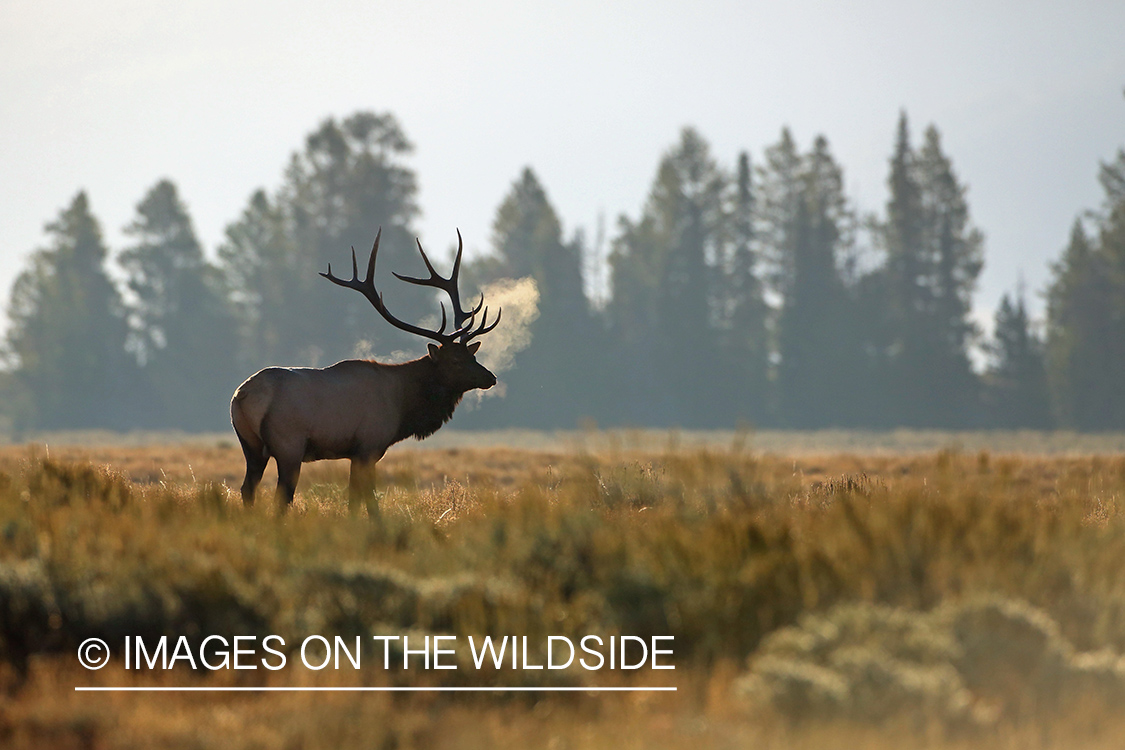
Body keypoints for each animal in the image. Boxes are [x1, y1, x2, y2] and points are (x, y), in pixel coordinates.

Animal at [230, 229, 500, 514]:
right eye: (455, 361)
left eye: (472, 355)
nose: (491, 377)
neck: (403, 405)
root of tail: (242, 395)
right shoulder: (369, 446)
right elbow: (367, 498)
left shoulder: (355, 453)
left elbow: (354, 499)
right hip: (289, 445)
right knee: (282, 496)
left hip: (251, 446)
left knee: (248, 488)